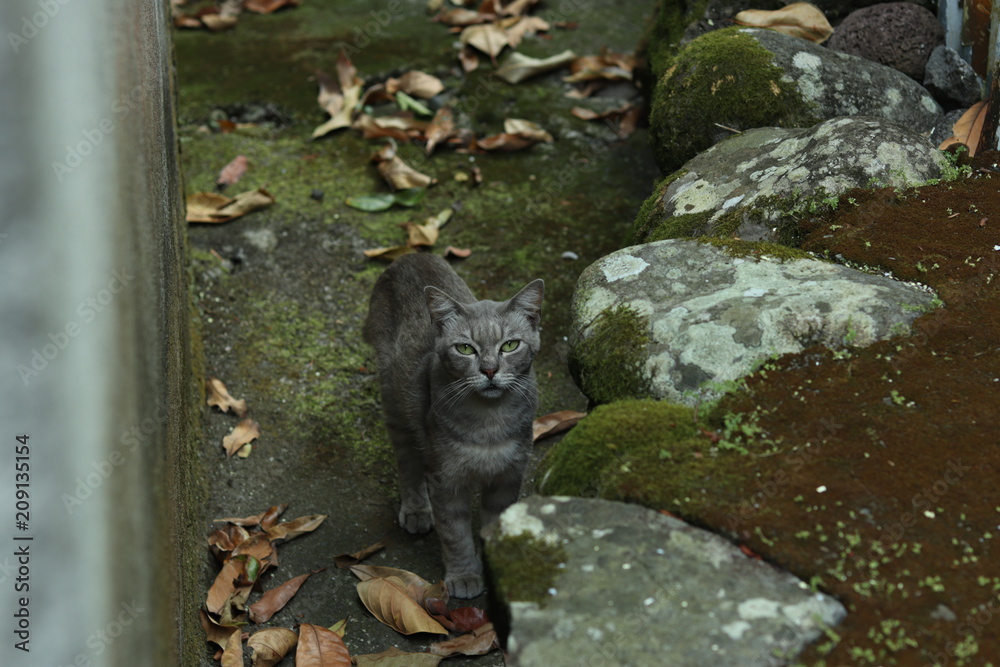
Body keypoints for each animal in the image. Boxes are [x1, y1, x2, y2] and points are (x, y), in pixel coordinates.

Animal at [364, 253, 544, 596]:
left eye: (510, 345)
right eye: (465, 348)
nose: (489, 370)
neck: (490, 421)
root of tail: (411, 255)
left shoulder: (508, 476)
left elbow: (495, 524)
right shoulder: (446, 482)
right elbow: (455, 534)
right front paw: (464, 575)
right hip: (396, 406)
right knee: (408, 460)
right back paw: (416, 509)